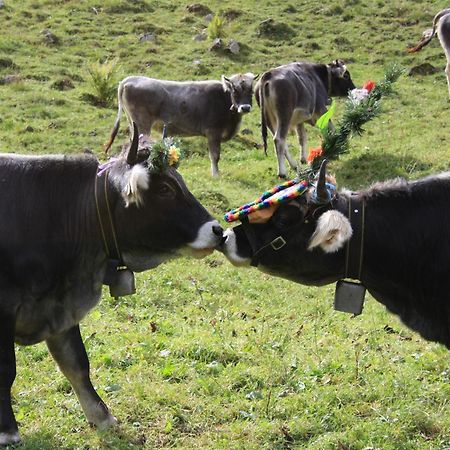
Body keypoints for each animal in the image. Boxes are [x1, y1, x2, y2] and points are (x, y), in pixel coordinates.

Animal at [0, 124, 223, 446]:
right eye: (165, 189)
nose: (218, 231)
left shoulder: (61, 307)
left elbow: (77, 363)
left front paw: (101, 416)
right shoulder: (5, 308)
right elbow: (7, 368)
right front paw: (8, 430)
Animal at [105, 72, 258, 176]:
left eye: (251, 90)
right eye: (235, 90)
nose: (245, 107)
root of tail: (131, 78)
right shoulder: (213, 132)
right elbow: (215, 156)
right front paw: (216, 175)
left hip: (133, 123)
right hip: (143, 123)